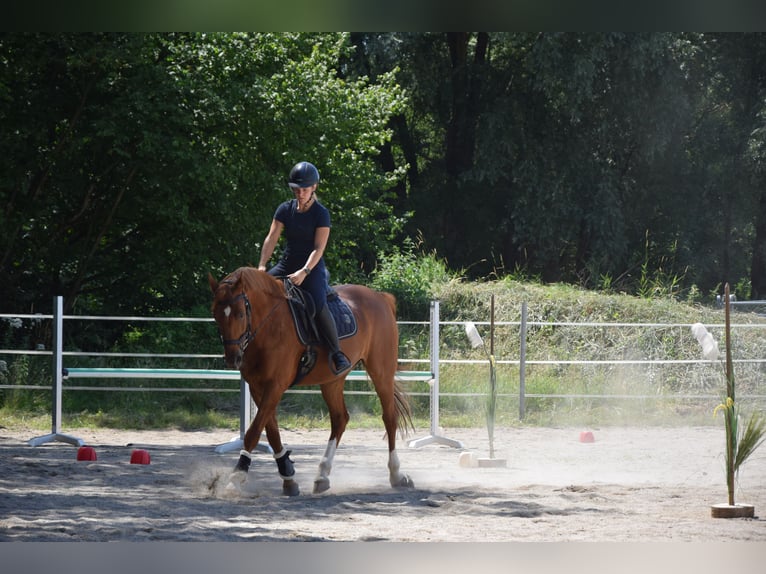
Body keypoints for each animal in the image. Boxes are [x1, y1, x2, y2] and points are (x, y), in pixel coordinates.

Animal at [207, 266, 415, 496]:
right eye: (216, 315)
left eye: (240, 314)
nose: (232, 358)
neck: (270, 324)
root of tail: (380, 297)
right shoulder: (257, 387)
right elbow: (271, 431)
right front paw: (288, 476)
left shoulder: (276, 385)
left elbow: (254, 432)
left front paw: (236, 477)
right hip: (332, 380)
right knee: (340, 419)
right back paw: (322, 475)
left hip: (381, 373)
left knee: (389, 418)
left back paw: (396, 474)